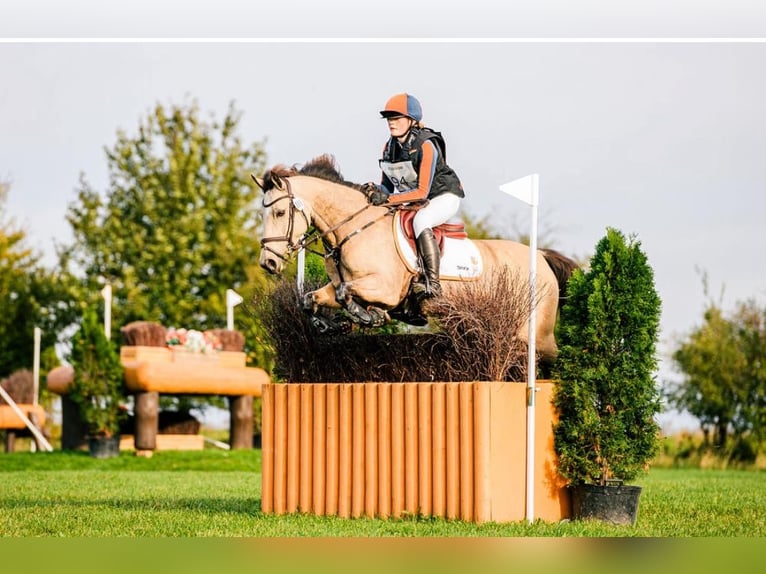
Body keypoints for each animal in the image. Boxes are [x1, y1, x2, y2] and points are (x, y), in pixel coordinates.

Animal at [255, 153, 580, 360]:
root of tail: (541, 256)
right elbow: (311, 298)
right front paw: (331, 324)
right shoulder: (340, 287)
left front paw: (368, 316)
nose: (268, 263)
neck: (354, 228)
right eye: (263, 214)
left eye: (280, 213)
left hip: (534, 332)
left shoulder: (385, 288)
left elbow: (346, 292)